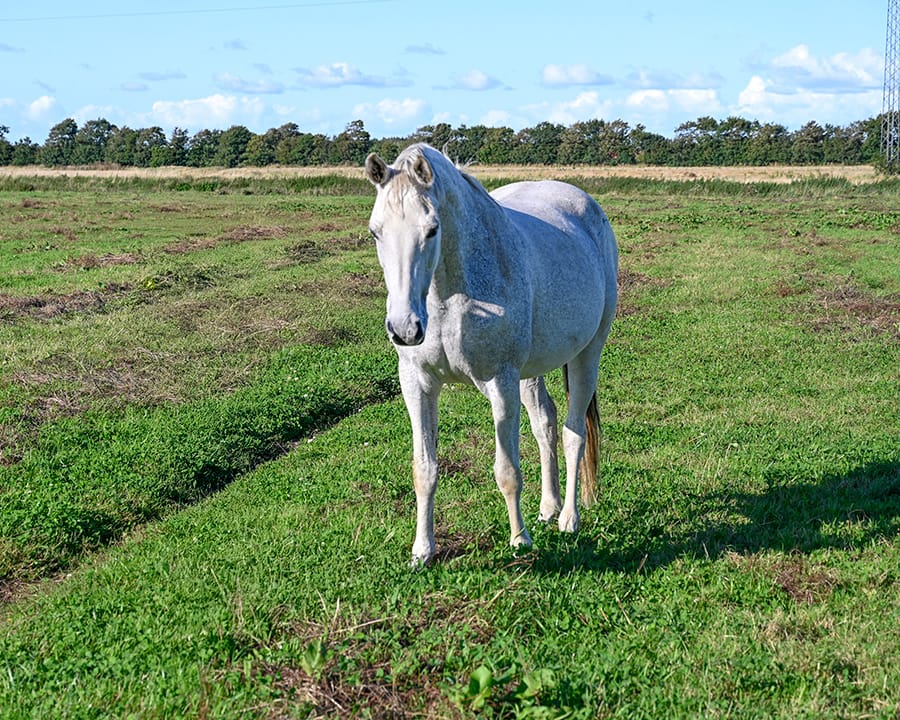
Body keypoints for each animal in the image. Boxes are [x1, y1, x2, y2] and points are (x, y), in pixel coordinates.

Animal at [364, 143, 618, 565]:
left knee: (573, 433)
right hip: (530, 373)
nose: (404, 328)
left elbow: (507, 470)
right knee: (545, 424)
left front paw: (519, 540)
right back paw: (548, 508)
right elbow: (424, 469)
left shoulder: (500, 383)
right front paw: (422, 551)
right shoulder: (417, 383)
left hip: (587, 355)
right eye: (375, 231)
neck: (449, 297)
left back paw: (568, 518)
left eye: (432, 229)